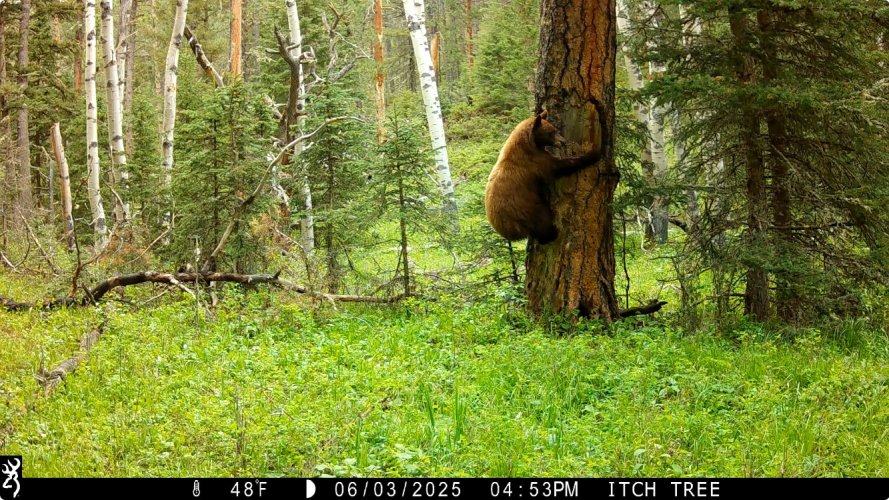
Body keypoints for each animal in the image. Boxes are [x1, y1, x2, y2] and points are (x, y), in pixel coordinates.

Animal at [484, 109, 605, 244]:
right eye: (551, 133)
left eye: (555, 130)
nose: (563, 142)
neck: (527, 146)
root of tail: (506, 230)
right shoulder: (535, 162)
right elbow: (560, 167)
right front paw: (593, 155)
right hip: (528, 210)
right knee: (543, 224)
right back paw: (552, 233)